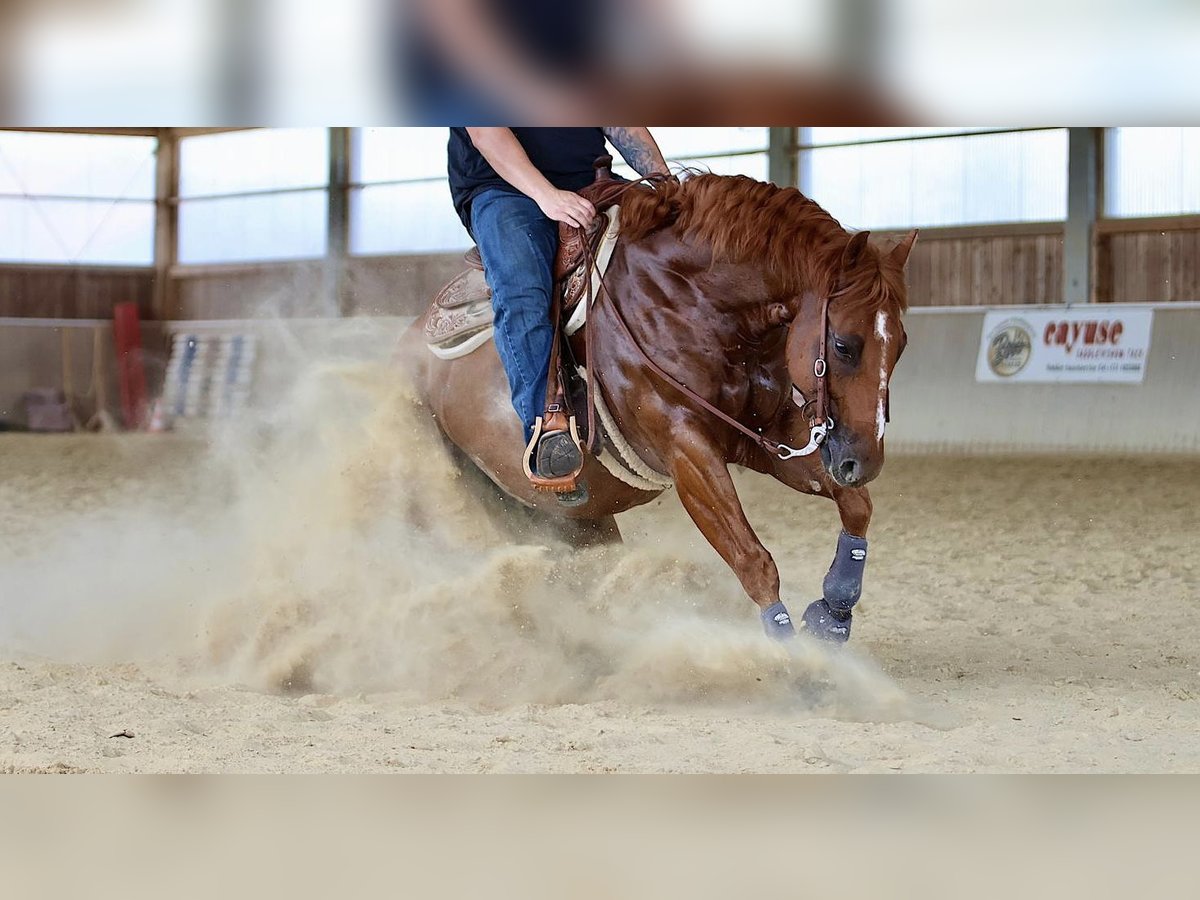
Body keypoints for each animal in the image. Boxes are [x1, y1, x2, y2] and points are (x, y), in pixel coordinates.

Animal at [398, 174, 912, 643]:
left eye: (901, 345)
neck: (694, 304)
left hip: (573, 520)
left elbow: (856, 504)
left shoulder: (765, 433)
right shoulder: (686, 449)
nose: (863, 461)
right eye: (844, 345)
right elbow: (752, 560)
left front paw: (834, 613)